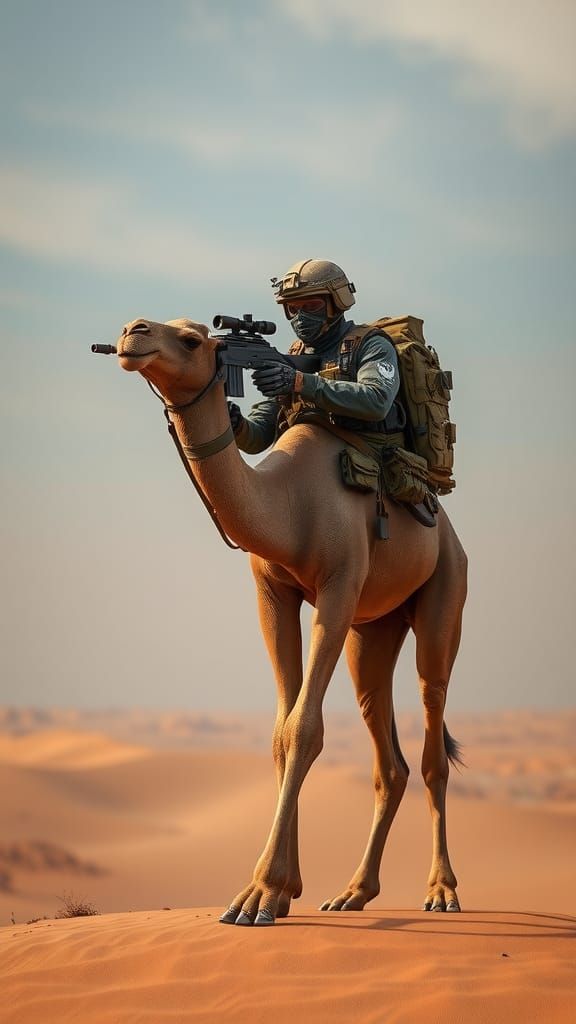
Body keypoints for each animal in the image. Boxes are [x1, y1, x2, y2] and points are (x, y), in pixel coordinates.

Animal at [114, 316, 468, 926]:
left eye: (191, 339)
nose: (133, 331)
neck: (287, 505)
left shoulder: (338, 588)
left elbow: (306, 728)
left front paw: (254, 895)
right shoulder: (272, 593)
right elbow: (281, 732)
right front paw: (282, 892)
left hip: (446, 594)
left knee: (432, 740)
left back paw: (441, 890)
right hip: (373, 630)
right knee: (387, 754)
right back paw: (353, 892)